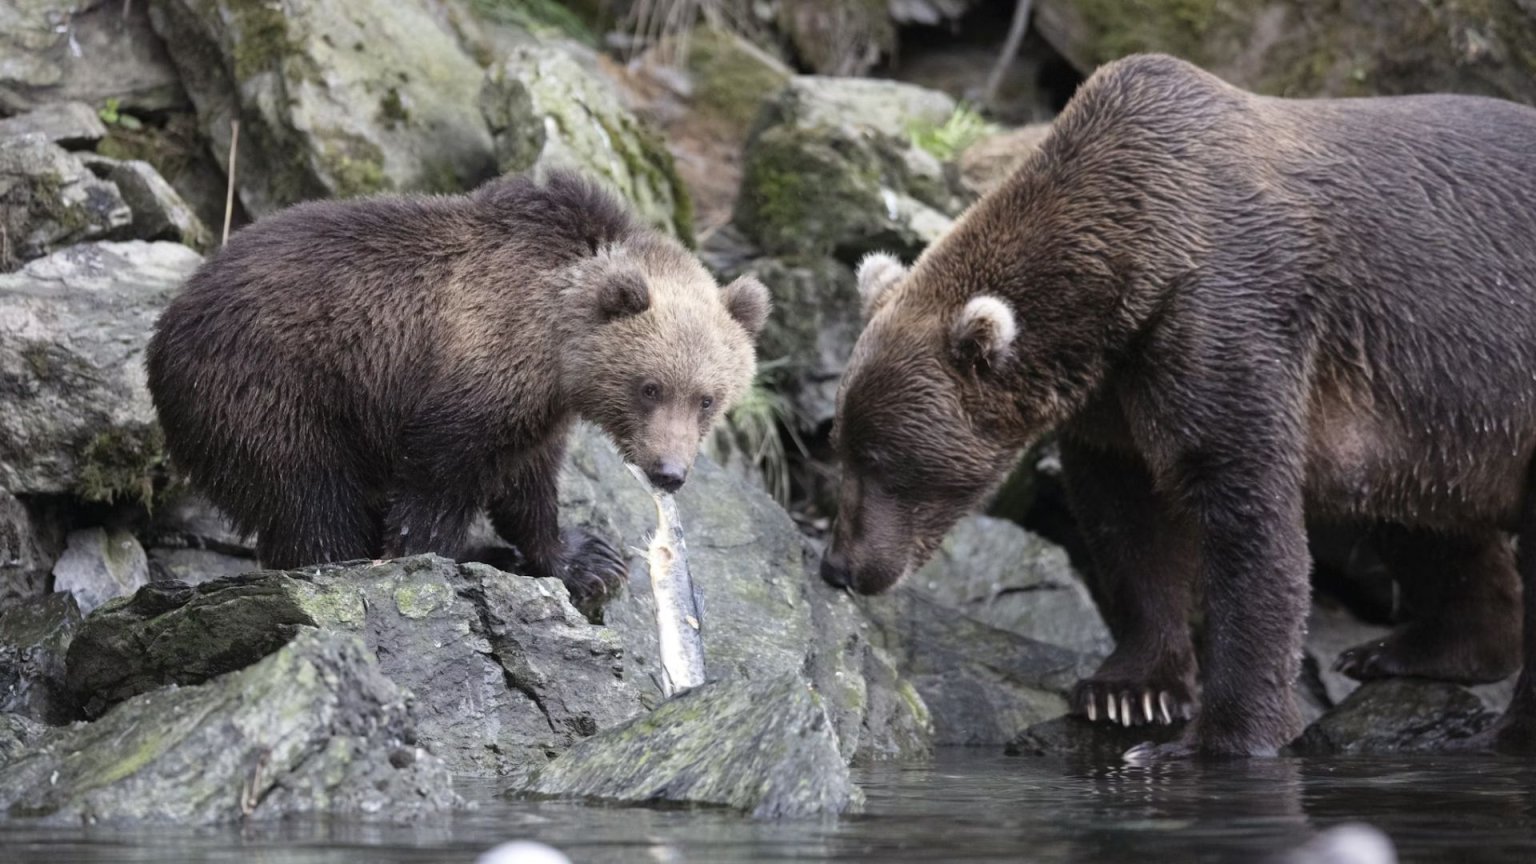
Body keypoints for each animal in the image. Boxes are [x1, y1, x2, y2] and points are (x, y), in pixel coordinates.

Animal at [147, 170, 769, 610]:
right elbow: (436, 485)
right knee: (309, 497)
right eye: (649, 387)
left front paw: (588, 559)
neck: (555, 341)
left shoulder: (537, 409)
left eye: (707, 399)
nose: (669, 472)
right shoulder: (473, 373)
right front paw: (431, 559)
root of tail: (165, 329)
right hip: (273, 391)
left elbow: (528, 483)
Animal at [818, 52, 1536, 759]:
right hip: (1432, 418)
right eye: (840, 446)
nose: (840, 566)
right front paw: (1127, 691)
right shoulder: (1114, 396)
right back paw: (1411, 649)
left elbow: (1243, 509)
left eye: (884, 459)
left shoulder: (1225, 318)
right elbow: (1129, 520)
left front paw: (1218, 736)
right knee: (1425, 521)